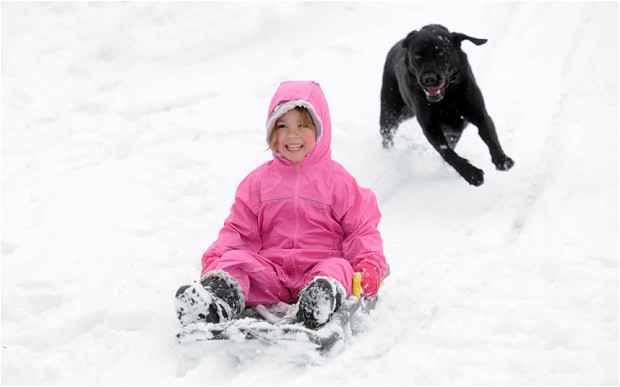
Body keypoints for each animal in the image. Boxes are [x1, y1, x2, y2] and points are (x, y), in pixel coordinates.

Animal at [380, 24, 516, 186]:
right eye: (417, 56)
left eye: (441, 55)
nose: (429, 79)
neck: (447, 99)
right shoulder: (430, 127)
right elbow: (447, 152)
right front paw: (471, 174)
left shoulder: (479, 114)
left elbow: (491, 136)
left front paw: (502, 160)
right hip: (392, 112)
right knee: (387, 134)